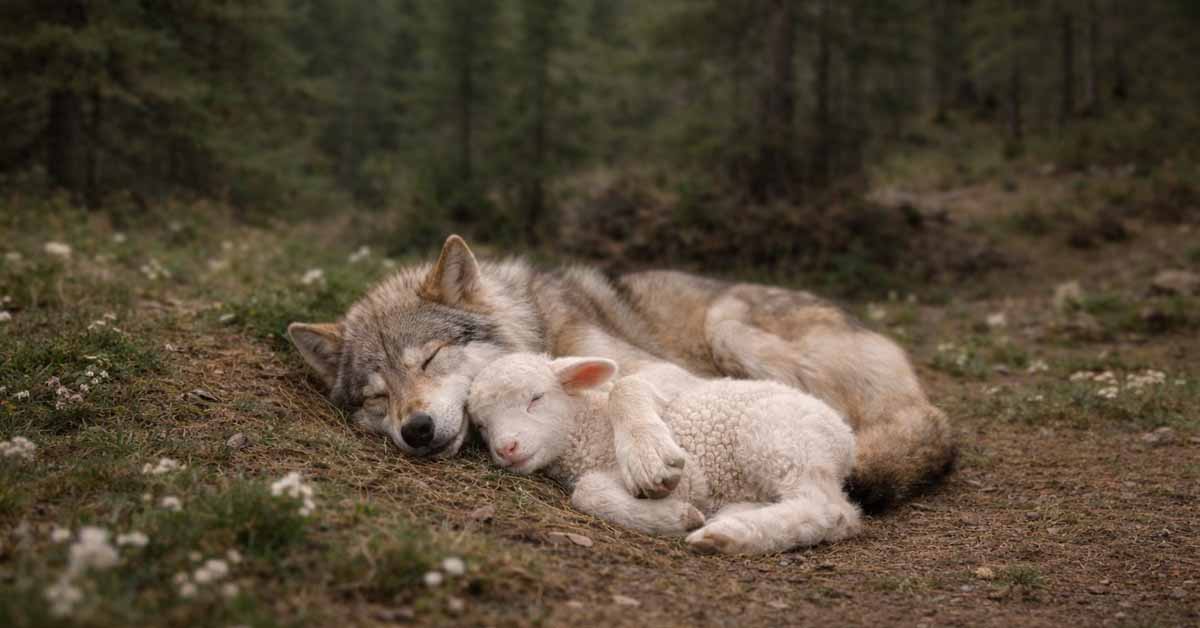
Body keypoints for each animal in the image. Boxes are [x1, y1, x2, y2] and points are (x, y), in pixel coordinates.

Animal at [289, 235, 956, 510]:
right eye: (377, 397)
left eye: (428, 359)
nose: (417, 430)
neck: (540, 326)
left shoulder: (659, 369)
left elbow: (627, 386)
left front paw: (647, 458)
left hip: (730, 327)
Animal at [466, 353, 862, 554]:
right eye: (482, 425)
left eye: (536, 398)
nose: (506, 448)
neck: (585, 433)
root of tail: (845, 436)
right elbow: (589, 491)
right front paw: (676, 516)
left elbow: (626, 387)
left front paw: (651, 462)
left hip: (782, 439)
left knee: (829, 510)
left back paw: (731, 535)